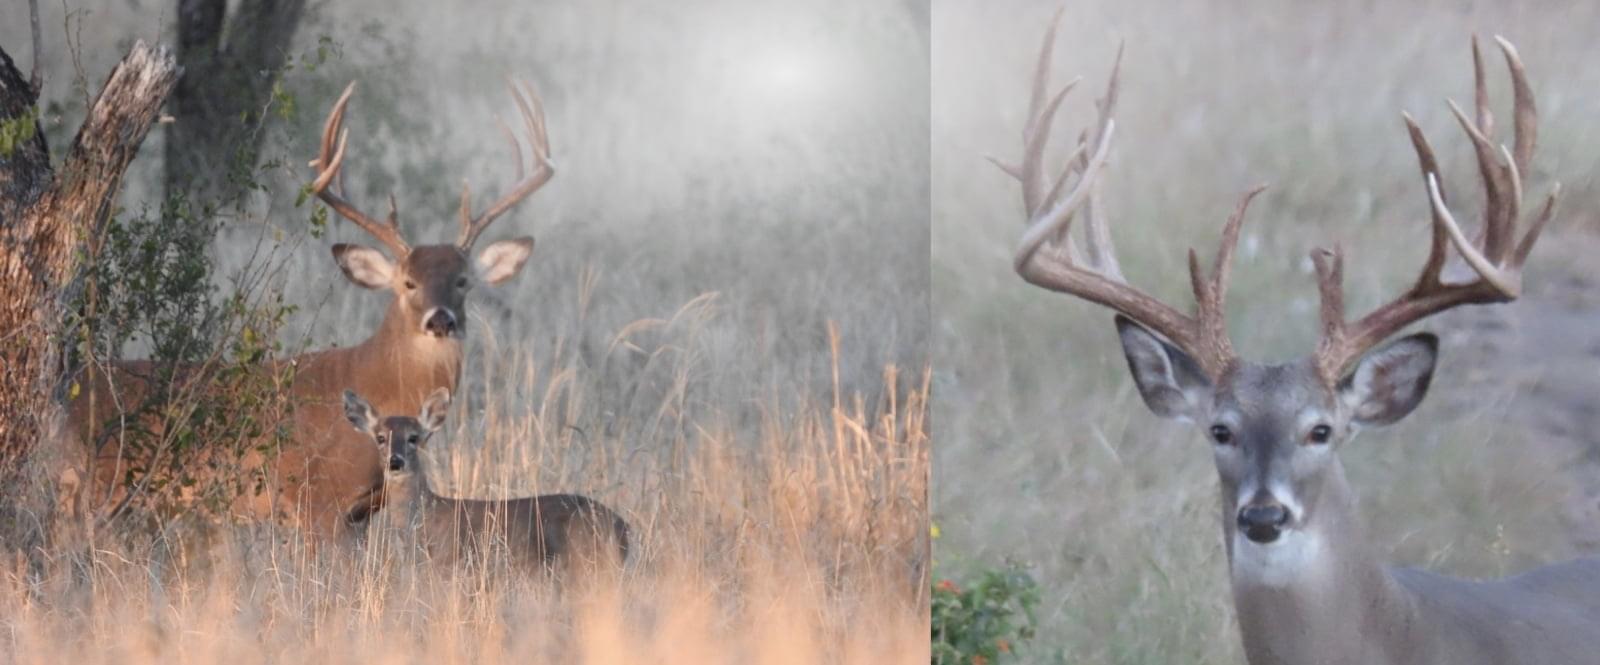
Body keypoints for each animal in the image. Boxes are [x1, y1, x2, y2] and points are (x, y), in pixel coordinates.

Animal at [65, 79, 554, 544]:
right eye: (408, 282)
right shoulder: (318, 501)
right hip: (98, 490)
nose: (440, 320)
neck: (378, 382)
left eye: (463, 280)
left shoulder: (361, 513)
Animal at [341, 388, 630, 574]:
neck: (425, 516)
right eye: (380, 437)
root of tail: (625, 529)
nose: (395, 461)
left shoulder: (449, 561)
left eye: (414, 437)